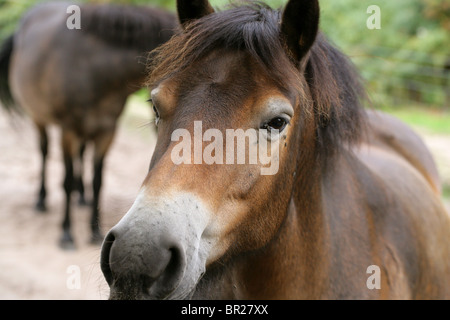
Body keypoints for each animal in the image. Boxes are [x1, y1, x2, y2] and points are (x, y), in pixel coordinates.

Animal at [0, 1, 178, 249]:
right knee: (44, 152)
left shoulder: (106, 131)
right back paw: (41, 199)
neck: (93, 67)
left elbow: (97, 181)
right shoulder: (68, 131)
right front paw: (66, 233)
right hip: (40, 119)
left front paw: (94, 230)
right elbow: (65, 181)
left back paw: (81, 196)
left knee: (81, 155)